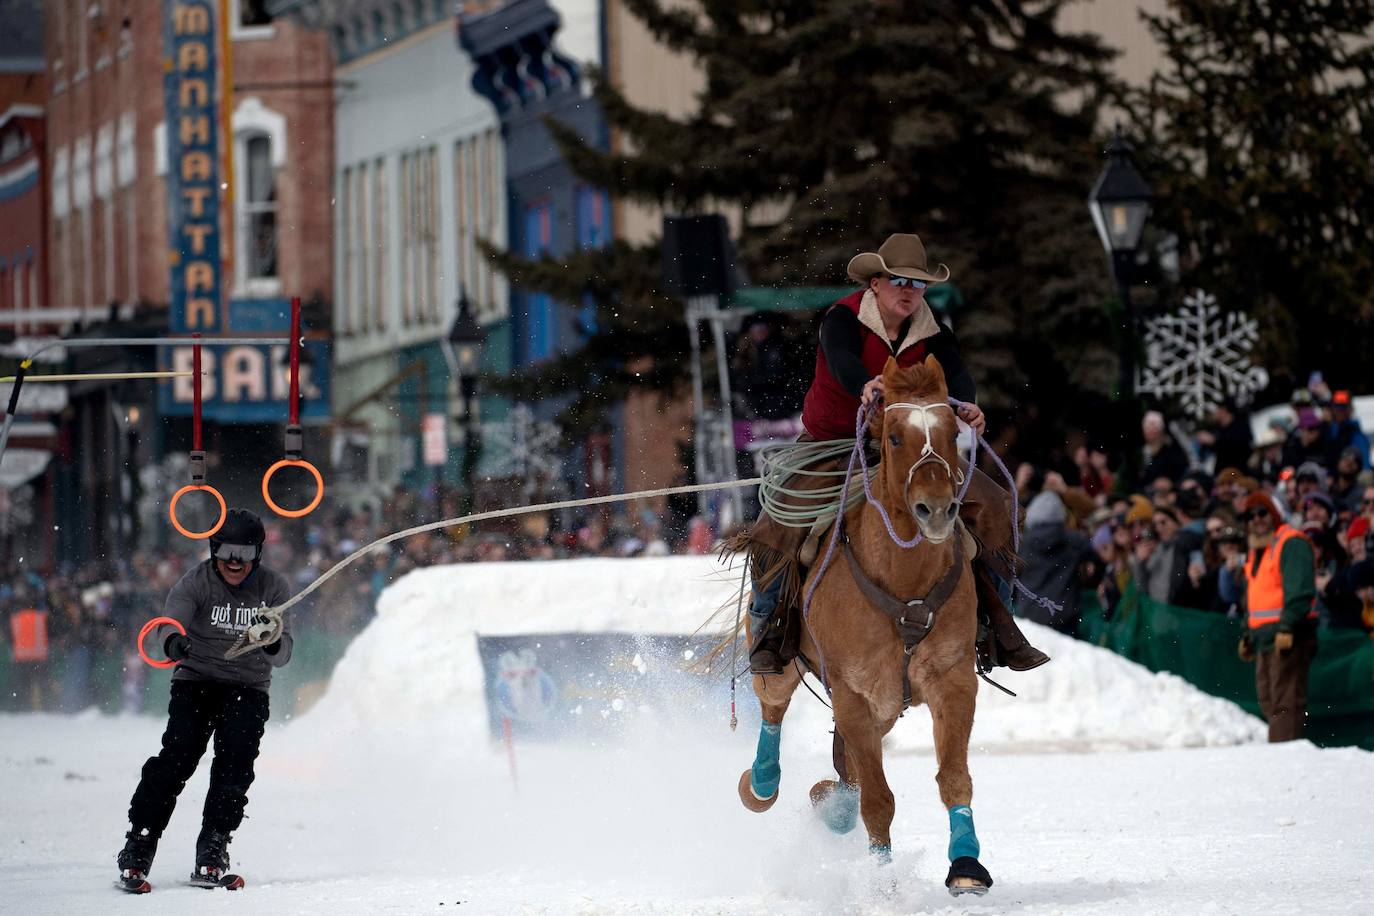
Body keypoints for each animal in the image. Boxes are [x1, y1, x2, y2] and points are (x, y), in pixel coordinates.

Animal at [736, 354, 994, 900]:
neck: (903, 580)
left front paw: (966, 865)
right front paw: (881, 887)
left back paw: (830, 801)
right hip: (783, 662)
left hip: (885, 705)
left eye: (950, 432)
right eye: (894, 436)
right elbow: (878, 800)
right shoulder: (852, 691)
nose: (937, 509)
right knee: (774, 708)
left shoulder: (952, 680)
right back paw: (762, 784)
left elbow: (953, 777)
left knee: (848, 773)